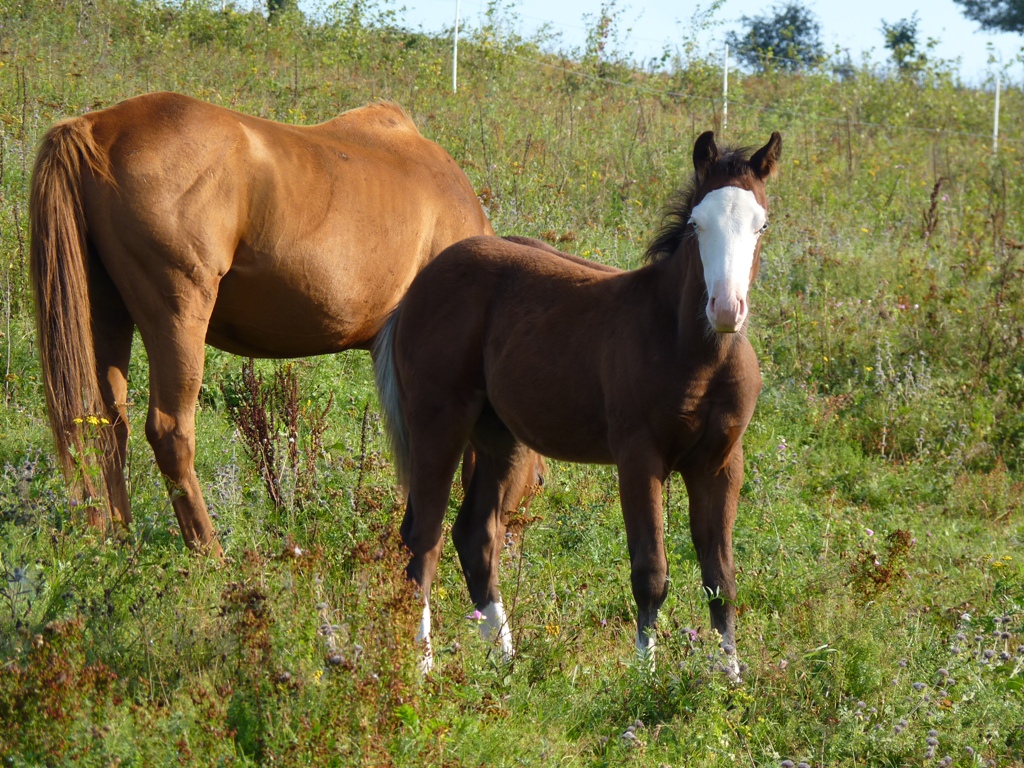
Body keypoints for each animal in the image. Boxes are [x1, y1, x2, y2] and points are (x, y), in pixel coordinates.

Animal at [30, 93, 495, 557]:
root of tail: (96, 129)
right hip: (178, 315)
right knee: (169, 432)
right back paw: (210, 553)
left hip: (106, 314)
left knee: (106, 428)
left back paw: (119, 543)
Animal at [376, 129, 782, 671]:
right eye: (698, 224)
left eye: (761, 225)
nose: (725, 309)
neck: (697, 355)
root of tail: (421, 281)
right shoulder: (639, 457)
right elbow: (650, 573)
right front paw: (645, 675)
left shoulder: (719, 463)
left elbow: (721, 578)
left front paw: (730, 677)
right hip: (437, 419)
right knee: (424, 535)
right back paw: (423, 664)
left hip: (500, 433)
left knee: (475, 535)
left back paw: (505, 661)